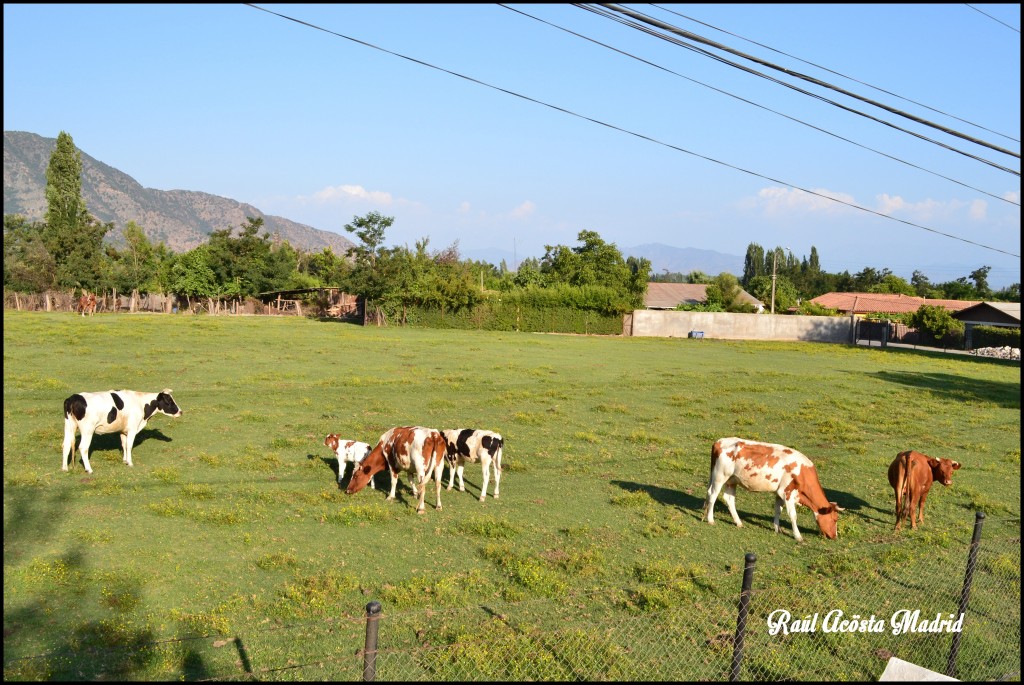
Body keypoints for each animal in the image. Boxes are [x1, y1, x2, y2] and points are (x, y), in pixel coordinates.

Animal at [700, 438, 843, 540]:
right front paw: (798, 536)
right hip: (720, 476)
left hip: (732, 480)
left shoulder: (779, 493)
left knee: (729, 499)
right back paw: (711, 519)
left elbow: (778, 510)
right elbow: (793, 515)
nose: (834, 537)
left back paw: (738, 522)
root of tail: (719, 441)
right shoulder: (787, 492)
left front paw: (777, 529)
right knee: (712, 495)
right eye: (835, 519)